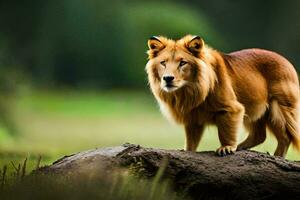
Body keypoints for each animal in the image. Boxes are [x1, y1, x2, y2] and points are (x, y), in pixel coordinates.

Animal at [146, 34, 300, 157]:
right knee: (259, 135)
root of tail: (287, 61)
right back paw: (241, 147)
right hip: (256, 108)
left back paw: (277, 156)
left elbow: (226, 132)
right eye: (163, 63)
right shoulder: (193, 117)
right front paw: (188, 151)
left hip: (279, 107)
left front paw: (227, 148)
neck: (188, 91)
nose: (168, 78)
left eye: (183, 63)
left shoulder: (232, 108)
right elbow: (191, 140)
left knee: (285, 137)